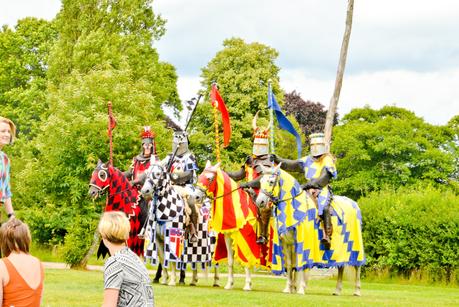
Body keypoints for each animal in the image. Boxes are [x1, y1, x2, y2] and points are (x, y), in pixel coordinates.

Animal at [198, 162, 262, 292]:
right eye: (200, 176)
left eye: (209, 178)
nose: (196, 197)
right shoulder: (228, 236)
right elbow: (230, 261)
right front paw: (229, 284)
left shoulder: (246, 238)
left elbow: (246, 260)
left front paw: (247, 285)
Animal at [256, 165, 364, 298]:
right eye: (261, 181)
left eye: (271, 181)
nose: (260, 202)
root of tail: (354, 204)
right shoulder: (287, 243)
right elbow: (290, 265)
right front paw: (288, 288)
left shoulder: (303, 242)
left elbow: (302, 265)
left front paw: (301, 288)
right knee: (341, 266)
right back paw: (337, 290)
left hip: (354, 245)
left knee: (357, 266)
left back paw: (357, 291)